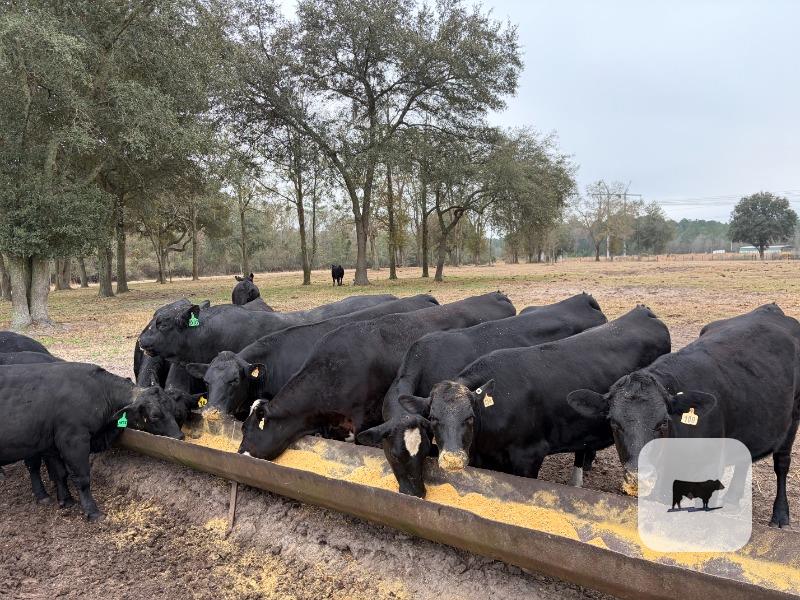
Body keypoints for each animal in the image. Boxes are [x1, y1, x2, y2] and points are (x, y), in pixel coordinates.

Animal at [0, 362, 190, 520]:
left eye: (173, 409)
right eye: (154, 415)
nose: (180, 436)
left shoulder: (52, 444)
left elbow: (60, 473)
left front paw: (66, 500)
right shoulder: (73, 441)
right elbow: (83, 478)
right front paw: (92, 511)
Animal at [567, 303, 800, 528]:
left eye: (663, 423)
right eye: (615, 424)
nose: (639, 475)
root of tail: (770, 309)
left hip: (792, 419)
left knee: (782, 463)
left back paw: (781, 516)